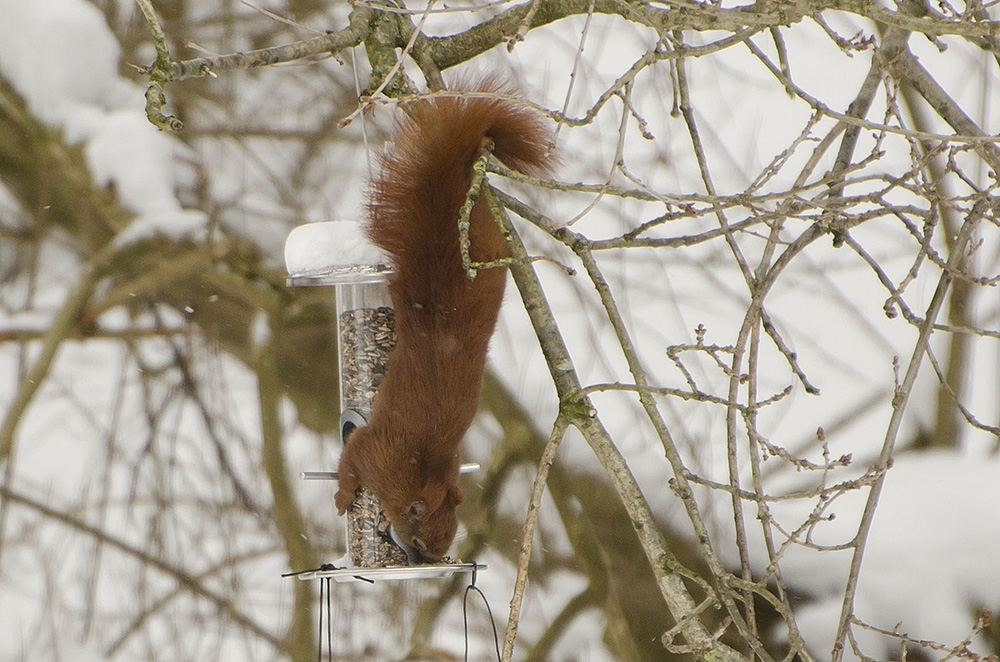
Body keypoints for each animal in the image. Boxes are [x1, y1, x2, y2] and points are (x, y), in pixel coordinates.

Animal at [336, 79, 556, 564]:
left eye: (446, 540)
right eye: (418, 540)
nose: (424, 563)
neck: (425, 475)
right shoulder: (373, 453)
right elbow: (349, 462)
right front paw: (342, 498)